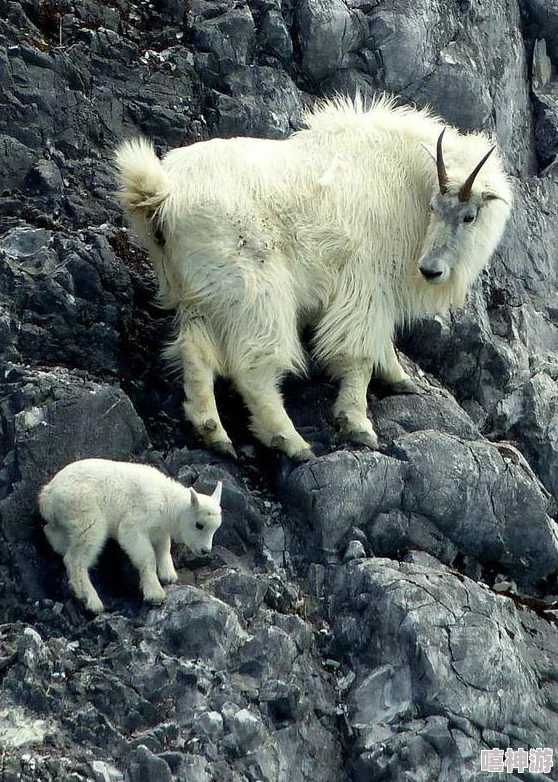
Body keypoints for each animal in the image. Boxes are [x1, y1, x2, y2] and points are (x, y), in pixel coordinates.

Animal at [116, 95, 516, 462]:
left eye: (468, 216)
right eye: (435, 206)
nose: (431, 269)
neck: (405, 184)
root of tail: (163, 194)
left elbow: (381, 341)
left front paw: (400, 377)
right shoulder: (365, 283)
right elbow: (359, 355)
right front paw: (357, 424)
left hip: (198, 293)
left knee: (194, 351)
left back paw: (214, 434)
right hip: (256, 291)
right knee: (253, 368)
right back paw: (289, 441)